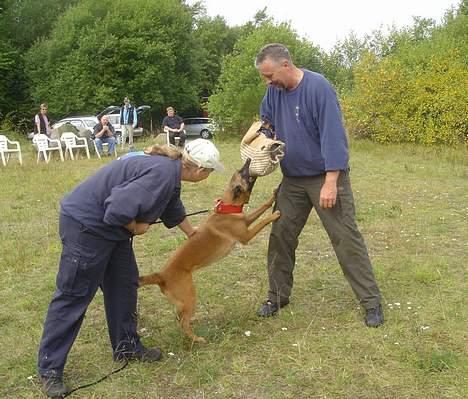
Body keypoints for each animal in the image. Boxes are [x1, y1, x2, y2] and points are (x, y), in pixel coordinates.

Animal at [137, 160, 280, 344]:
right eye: (242, 172)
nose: (248, 160)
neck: (227, 207)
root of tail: (161, 275)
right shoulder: (246, 235)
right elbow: (262, 221)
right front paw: (274, 215)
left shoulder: (245, 220)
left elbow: (261, 208)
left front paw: (273, 197)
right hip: (190, 296)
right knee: (183, 322)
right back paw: (197, 339)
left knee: (180, 318)